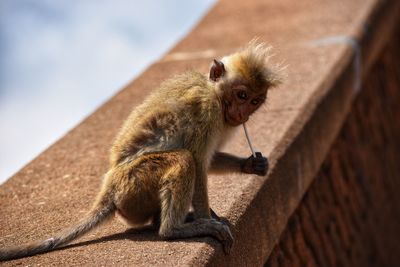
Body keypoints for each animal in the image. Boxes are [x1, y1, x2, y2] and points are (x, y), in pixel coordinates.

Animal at [0, 40, 280, 262]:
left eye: (255, 101)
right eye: (241, 95)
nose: (243, 114)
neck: (214, 92)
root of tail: (110, 192)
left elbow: (207, 160)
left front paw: (251, 165)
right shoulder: (207, 108)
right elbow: (199, 162)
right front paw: (210, 220)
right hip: (133, 185)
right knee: (183, 159)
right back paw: (173, 230)